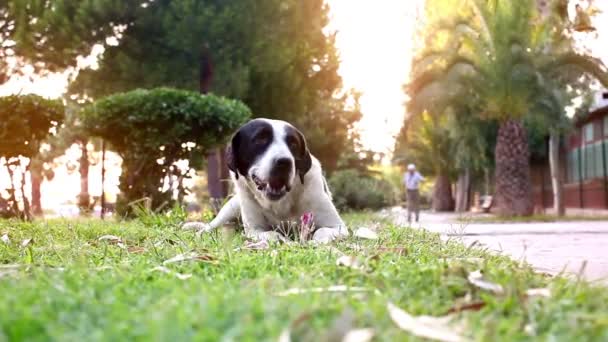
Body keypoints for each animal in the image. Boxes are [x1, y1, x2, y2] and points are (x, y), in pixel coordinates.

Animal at [182, 117, 346, 243]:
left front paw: (317, 242)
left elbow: (322, 231)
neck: (281, 203)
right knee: (210, 227)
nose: (284, 162)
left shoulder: (338, 226)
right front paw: (285, 241)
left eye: (293, 143)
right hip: (230, 209)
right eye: (260, 140)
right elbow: (271, 233)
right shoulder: (255, 230)